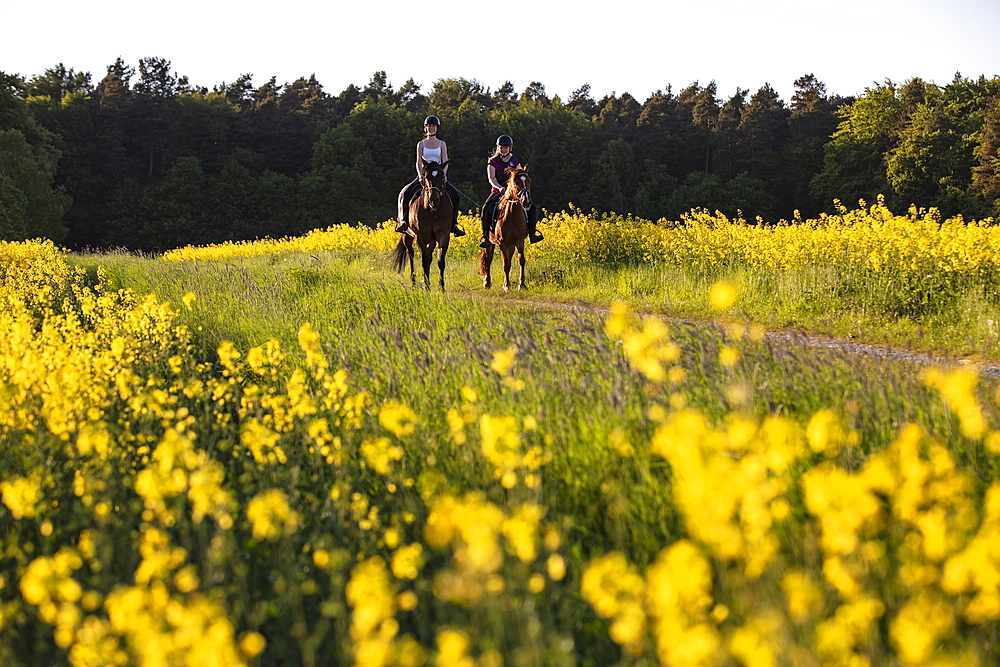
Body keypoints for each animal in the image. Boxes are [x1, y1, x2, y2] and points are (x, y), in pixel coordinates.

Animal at [390, 160, 454, 292]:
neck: (432, 211)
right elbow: (424, 260)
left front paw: (441, 286)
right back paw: (413, 282)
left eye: (442, 177)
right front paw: (427, 286)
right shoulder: (419, 236)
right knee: (411, 254)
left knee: (428, 255)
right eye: (426, 177)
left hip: (432, 240)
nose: (434, 201)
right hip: (407, 235)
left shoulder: (443, 235)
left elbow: (440, 260)